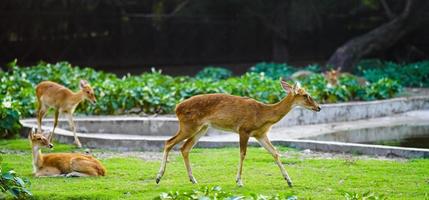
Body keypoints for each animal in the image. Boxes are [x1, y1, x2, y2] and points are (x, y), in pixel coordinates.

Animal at [155, 79, 320, 188]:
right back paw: (158, 177)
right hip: (188, 125)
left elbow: (275, 153)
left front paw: (289, 181)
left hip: (202, 128)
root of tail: (176, 107)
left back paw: (193, 179)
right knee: (169, 142)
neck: (263, 115)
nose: (318, 107)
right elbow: (242, 154)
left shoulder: (260, 134)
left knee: (185, 148)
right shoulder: (244, 129)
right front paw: (239, 181)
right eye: (305, 95)